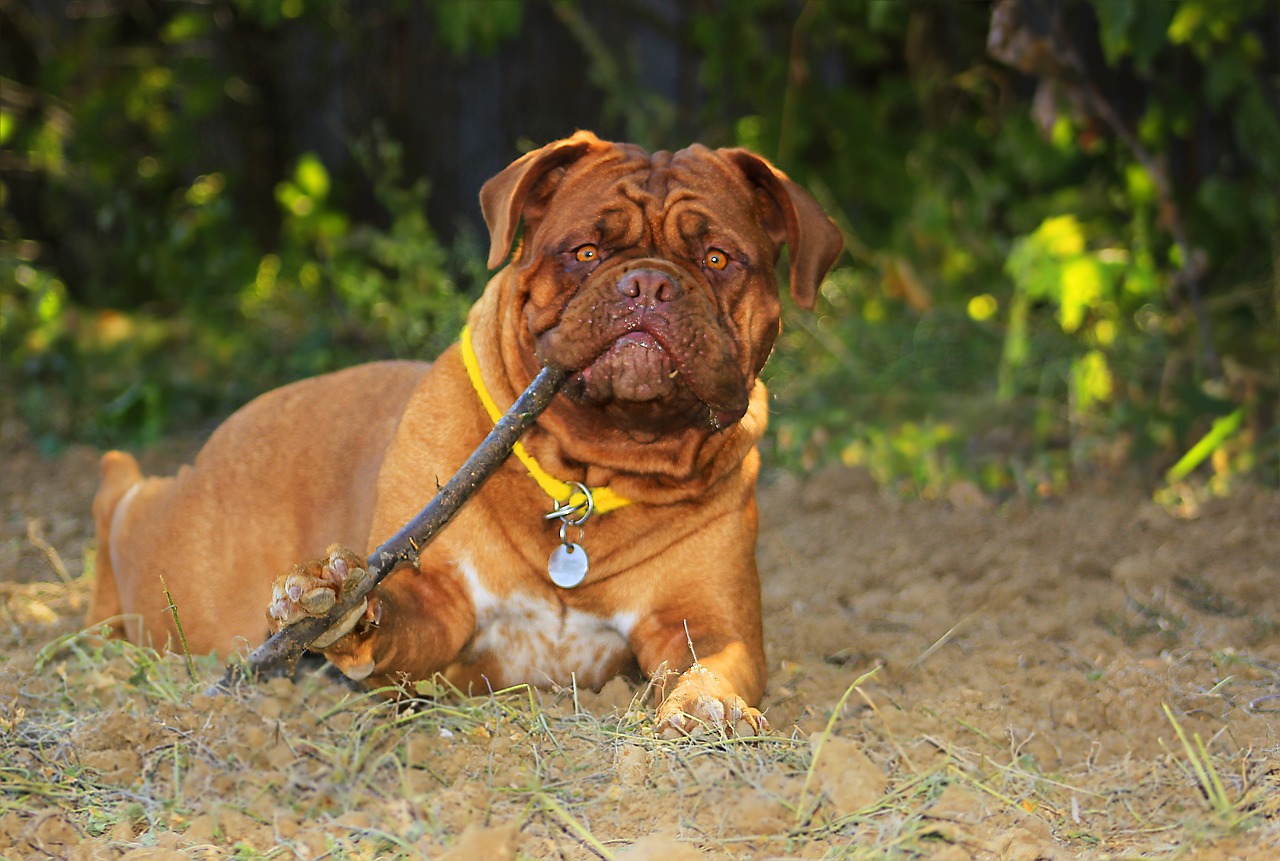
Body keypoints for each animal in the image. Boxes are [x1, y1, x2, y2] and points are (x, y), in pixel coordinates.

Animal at [92, 129, 849, 731]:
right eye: (584, 251)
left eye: (718, 258)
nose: (648, 285)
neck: (589, 476)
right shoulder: (440, 604)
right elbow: (392, 614)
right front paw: (342, 609)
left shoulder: (707, 620)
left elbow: (710, 665)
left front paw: (706, 705)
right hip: (183, 575)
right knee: (117, 498)